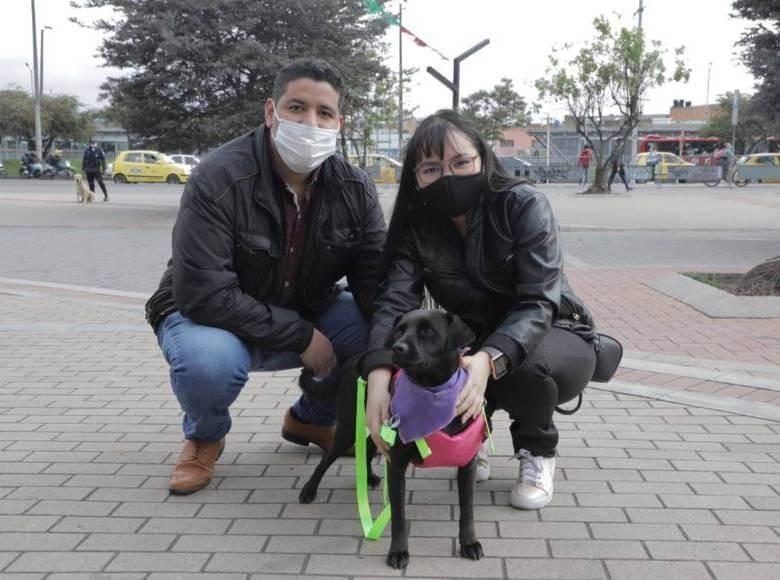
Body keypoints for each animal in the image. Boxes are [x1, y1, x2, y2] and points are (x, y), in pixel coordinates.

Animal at [298, 310, 482, 568]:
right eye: (399, 330)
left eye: (427, 331)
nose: (397, 348)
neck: (432, 392)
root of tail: (353, 359)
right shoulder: (396, 466)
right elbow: (399, 517)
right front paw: (398, 551)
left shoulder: (467, 463)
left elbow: (467, 511)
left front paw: (469, 543)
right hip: (348, 427)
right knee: (326, 459)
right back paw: (309, 490)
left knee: (368, 446)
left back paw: (369, 477)